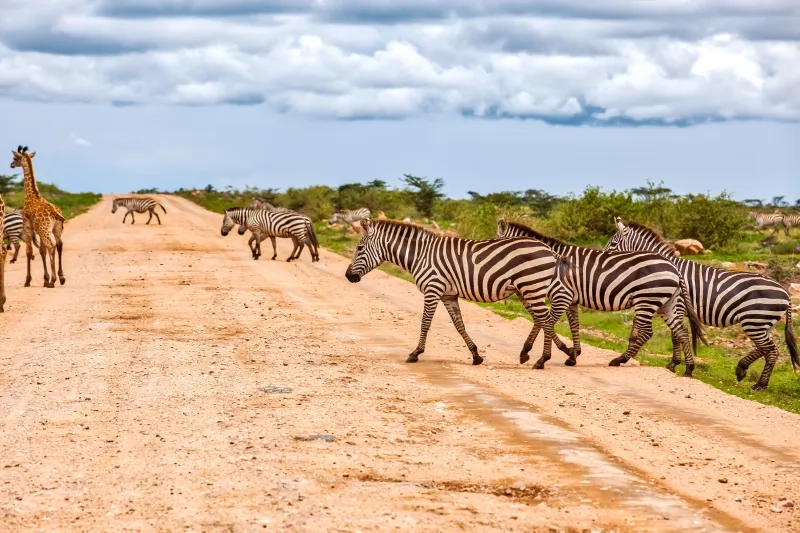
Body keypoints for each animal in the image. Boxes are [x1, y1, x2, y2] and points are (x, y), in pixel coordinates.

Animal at [344, 218, 562, 367]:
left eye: (359, 248)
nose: (348, 276)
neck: (420, 255)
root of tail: (548, 249)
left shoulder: (432, 289)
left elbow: (425, 323)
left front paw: (415, 353)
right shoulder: (448, 294)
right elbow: (459, 325)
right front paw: (476, 355)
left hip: (531, 287)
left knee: (546, 319)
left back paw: (543, 359)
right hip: (527, 289)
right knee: (542, 320)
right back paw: (536, 354)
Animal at [497, 220, 706, 373]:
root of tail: (674, 267)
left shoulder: (561, 295)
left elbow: (545, 322)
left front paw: (535, 357)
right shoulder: (571, 299)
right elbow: (573, 325)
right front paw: (573, 354)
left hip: (646, 300)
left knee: (648, 332)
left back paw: (619, 359)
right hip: (666, 303)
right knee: (681, 331)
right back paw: (688, 369)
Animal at [605, 218, 799, 390]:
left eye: (613, 244)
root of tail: (785, 293)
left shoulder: (677, 306)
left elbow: (676, 335)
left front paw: (676, 364)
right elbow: (674, 335)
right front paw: (674, 363)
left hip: (755, 321)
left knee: (771, 350)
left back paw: (760, 384)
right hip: (763, 323)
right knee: (765, 348)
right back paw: (742, 369)